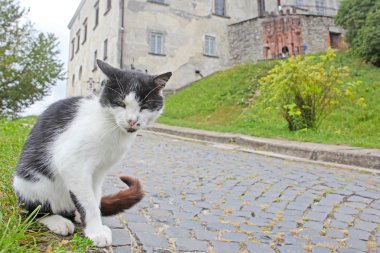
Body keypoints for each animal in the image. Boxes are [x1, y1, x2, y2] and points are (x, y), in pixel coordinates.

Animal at [12, 59, 172, 247]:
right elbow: (88, 202)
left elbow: (94, 198)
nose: (131, 120)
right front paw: (96, 231)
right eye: (121, 103)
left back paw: (76, 214)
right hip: (32, 183)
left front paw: (95, 224)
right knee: (33, 211)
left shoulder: (99, 172)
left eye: (144, 107)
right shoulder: (72, 164)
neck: (112, 128)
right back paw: (57, 220)